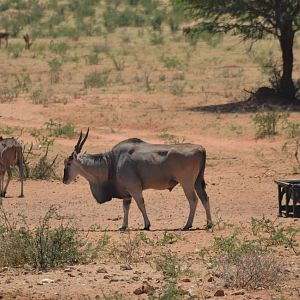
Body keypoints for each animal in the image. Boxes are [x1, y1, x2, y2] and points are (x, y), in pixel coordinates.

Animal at [62, 129, 213, 230]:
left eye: (68, 163)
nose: (64, 180)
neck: (112, 162)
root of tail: (200, 148)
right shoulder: (126, 193)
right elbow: (126, 208)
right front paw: (123, 226)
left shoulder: (134, 188)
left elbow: (141, 204)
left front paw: (147, 225)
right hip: (197, 182)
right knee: (205, 198)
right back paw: (209, 224)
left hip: (186, 183)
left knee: (193, 200)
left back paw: (188, 224)